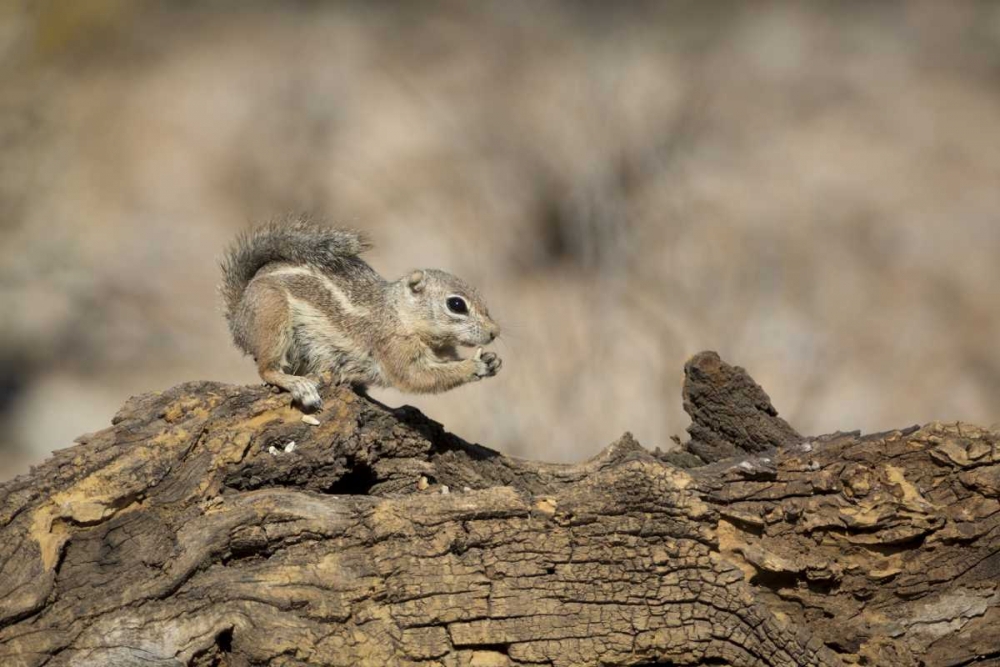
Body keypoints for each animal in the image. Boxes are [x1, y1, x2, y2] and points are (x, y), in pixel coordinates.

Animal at [219, 217, 500, 410]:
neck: (399, 314)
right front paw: (474, 365)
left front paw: (492, 360)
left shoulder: (440, 352)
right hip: (273, 321)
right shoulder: (392, 347)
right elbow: (416, 377)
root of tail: (238, 316)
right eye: (456, 305)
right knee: (267, 369)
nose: (494, 332)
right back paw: (300, 385)